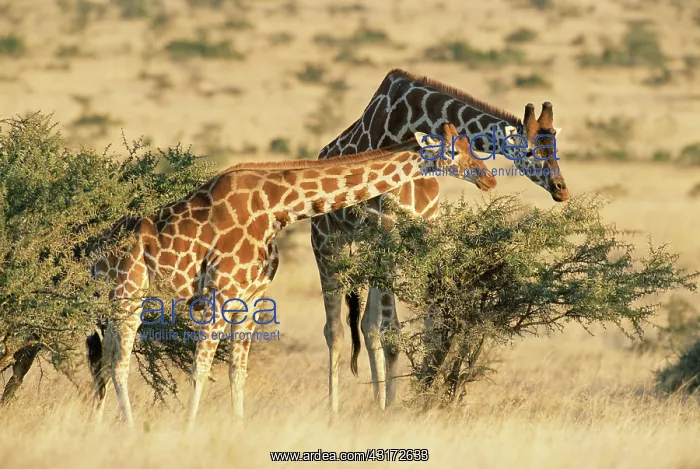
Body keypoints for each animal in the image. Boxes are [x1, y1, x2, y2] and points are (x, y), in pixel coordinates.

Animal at [85, 124, 497, 426]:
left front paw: (237, 428)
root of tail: (91, 251)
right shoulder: (221, 291)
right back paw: (130, 428)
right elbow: (200, 367)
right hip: (129, 294)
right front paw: (188, 429)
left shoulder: (249, 298)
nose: (489, 179)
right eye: (453, 151)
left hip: (111, 301)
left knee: (104, 358)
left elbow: (237, 369)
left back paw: (97, 426)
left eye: (469, 144)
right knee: (119, 361)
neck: (275, 209)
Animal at [311, 68, 568, 413]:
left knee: (367, 327)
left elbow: (431, 325)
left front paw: (420, 397)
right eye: (529, 152)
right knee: (335, 329)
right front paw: (395, 409)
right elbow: (393, 332)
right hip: (327, 241)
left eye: (554, 149)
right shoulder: (387, 231)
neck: (405, 122)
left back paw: (377, 404)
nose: (561, 189)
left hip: (369, 247)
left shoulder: (424, 234)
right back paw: (335, 410)